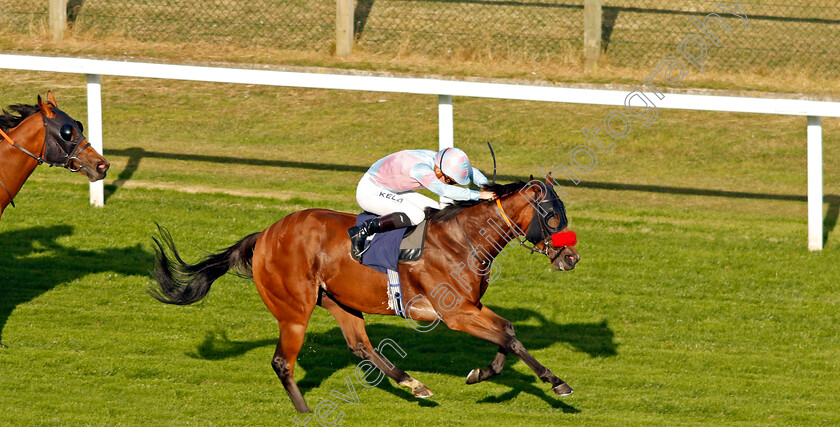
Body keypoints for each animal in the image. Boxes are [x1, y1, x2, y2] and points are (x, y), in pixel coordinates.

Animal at [151, 176, 580, 412]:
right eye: (552, 215)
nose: (571, 257)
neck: (464, 239)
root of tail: (267, 234)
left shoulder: (470, 306)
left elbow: (506, 333)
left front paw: (481, 374)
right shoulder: (457, 313)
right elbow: (509, 334)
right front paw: (557, 382)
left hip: (339, 301)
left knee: (360, 346)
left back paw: (412, 383)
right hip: (294, 310)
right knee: (282, 362)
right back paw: (305, 411)